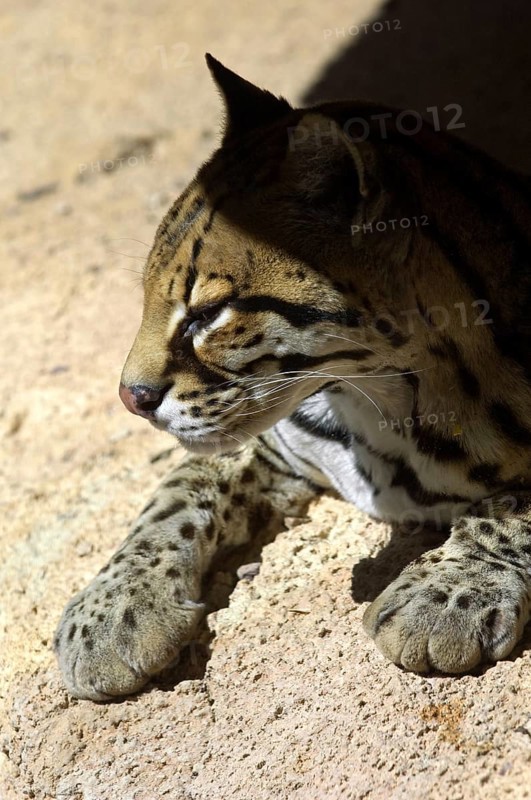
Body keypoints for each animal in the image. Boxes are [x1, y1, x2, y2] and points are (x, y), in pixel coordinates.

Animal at [54, 54, 531, 700]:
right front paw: (111, 610)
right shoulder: (262, 443)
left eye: (208, 314)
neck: (382, 402)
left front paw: (452, 590)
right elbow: (172, 494)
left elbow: (512, 505)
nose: (131, 398)